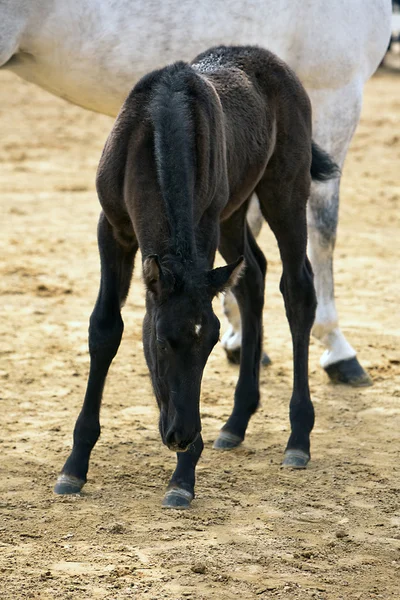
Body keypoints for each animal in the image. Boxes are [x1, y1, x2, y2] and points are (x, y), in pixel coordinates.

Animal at [54, 45, 338, 506]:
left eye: (209, 345)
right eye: (160, 341)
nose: (181, 436)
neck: (158, 129)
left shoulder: (203, 227)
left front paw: (182, 478)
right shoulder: (112, 227)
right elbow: (104, 328)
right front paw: (74, 467)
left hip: (285, 190)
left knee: (297, 291)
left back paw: (298, 437)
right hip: (235, 210)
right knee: (252, 275)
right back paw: (236, 422)